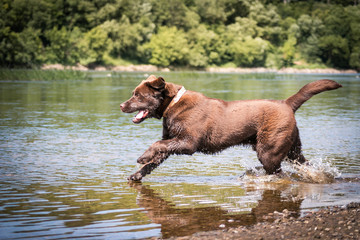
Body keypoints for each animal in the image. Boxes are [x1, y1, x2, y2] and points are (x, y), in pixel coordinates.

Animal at [119, 75, 342, 180]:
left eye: (138, 95)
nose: (121, 105)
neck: (173, 104)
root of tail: (286, 103)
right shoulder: (172, 142)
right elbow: (154, 159)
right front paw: (137, 175)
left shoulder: (188, 142)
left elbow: (156, 144)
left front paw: (143, 156)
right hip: (292, 148)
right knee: (302, 164)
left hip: (269, 149)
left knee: (277, 170)